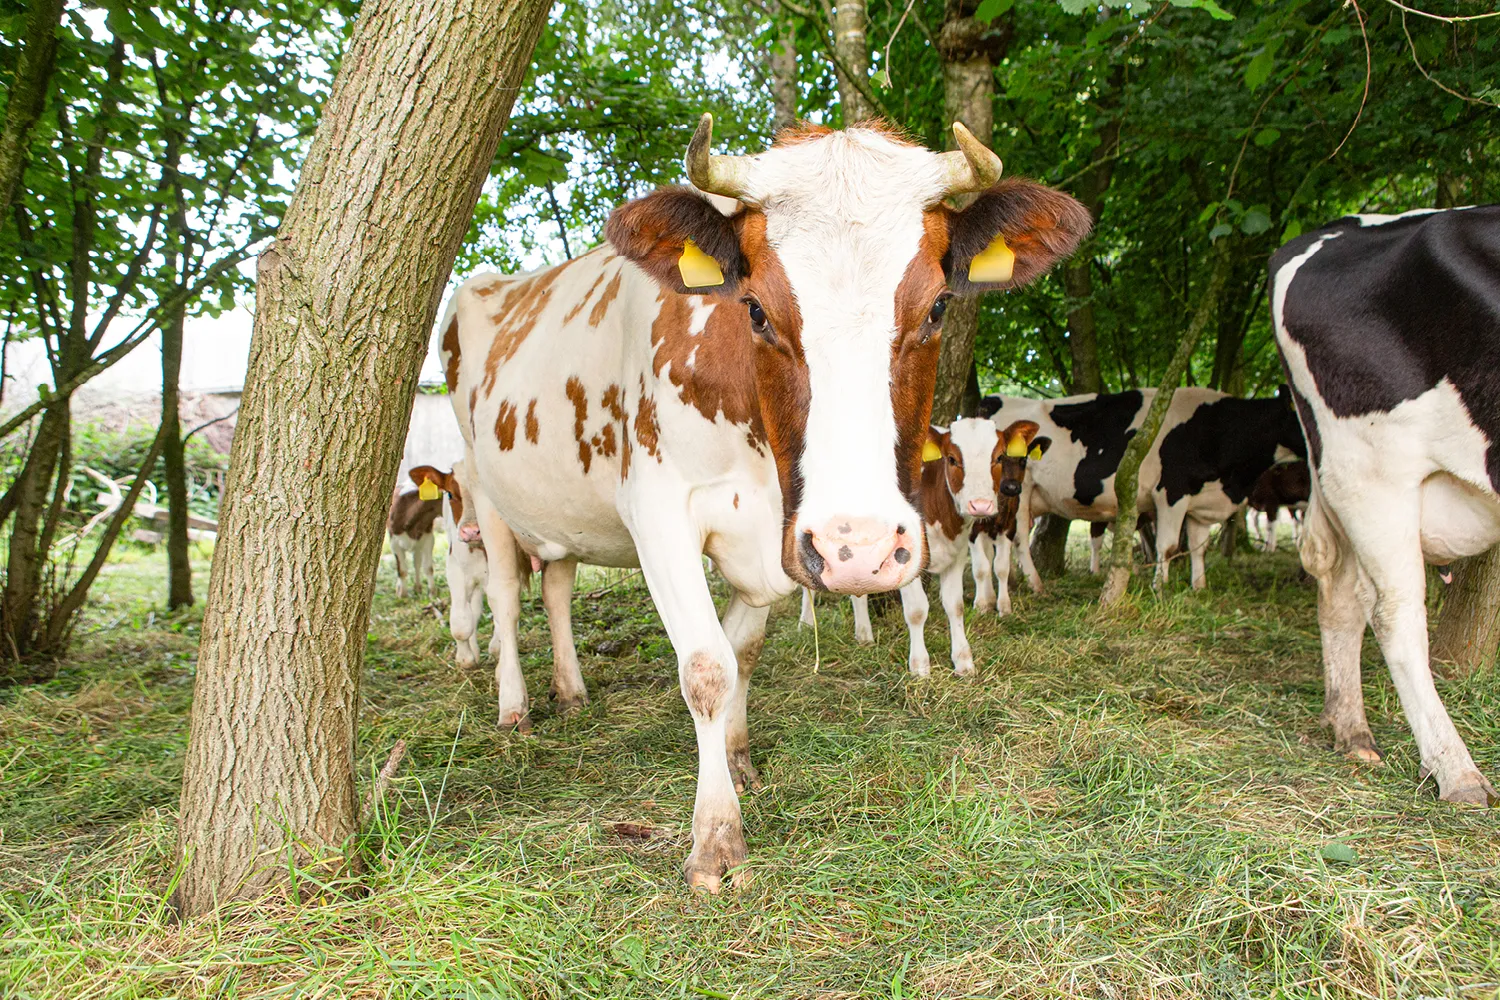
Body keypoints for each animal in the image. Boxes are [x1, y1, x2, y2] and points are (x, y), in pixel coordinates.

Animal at [438, 117, 1086, 893]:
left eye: (936, 307)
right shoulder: (659, 511)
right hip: (483, 489)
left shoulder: (780, 541)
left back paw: (570, 689)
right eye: (753, 307)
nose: (860, 549)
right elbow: (707, 668)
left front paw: (739, 757)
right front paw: (716, 838)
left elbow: (742, 650)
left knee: (559, 586)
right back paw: (515, 706)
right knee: (507, 598)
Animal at [984, 386, 1302, 590]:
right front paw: (1159, 588)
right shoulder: (1171, 493)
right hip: (1021, 489)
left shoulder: (1200, 504)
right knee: (1019, 537)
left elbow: (1199, 548)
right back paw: (1035, 584)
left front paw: (1199, 587)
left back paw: (1013, 581)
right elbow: (1168, 545)